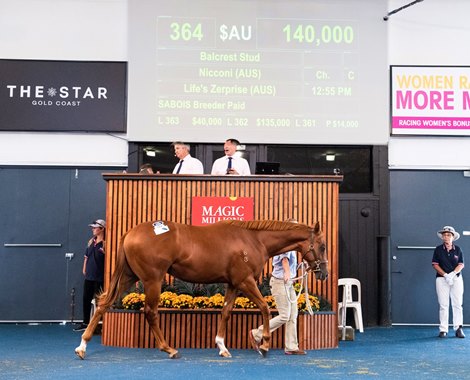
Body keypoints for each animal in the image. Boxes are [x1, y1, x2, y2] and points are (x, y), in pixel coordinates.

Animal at [76, 220, 326, 360]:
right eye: (322, 246)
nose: (324, 273)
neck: (252, 239)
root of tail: (130, 233)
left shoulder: (233, 284)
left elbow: (225, 312)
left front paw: (222, 347)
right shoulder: (245, 281)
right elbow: (265, 308)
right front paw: (263, 344)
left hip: (129, 277)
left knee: (104, 304)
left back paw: (82, 346)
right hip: (152, 279)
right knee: (150, 312)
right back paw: (169, 349)